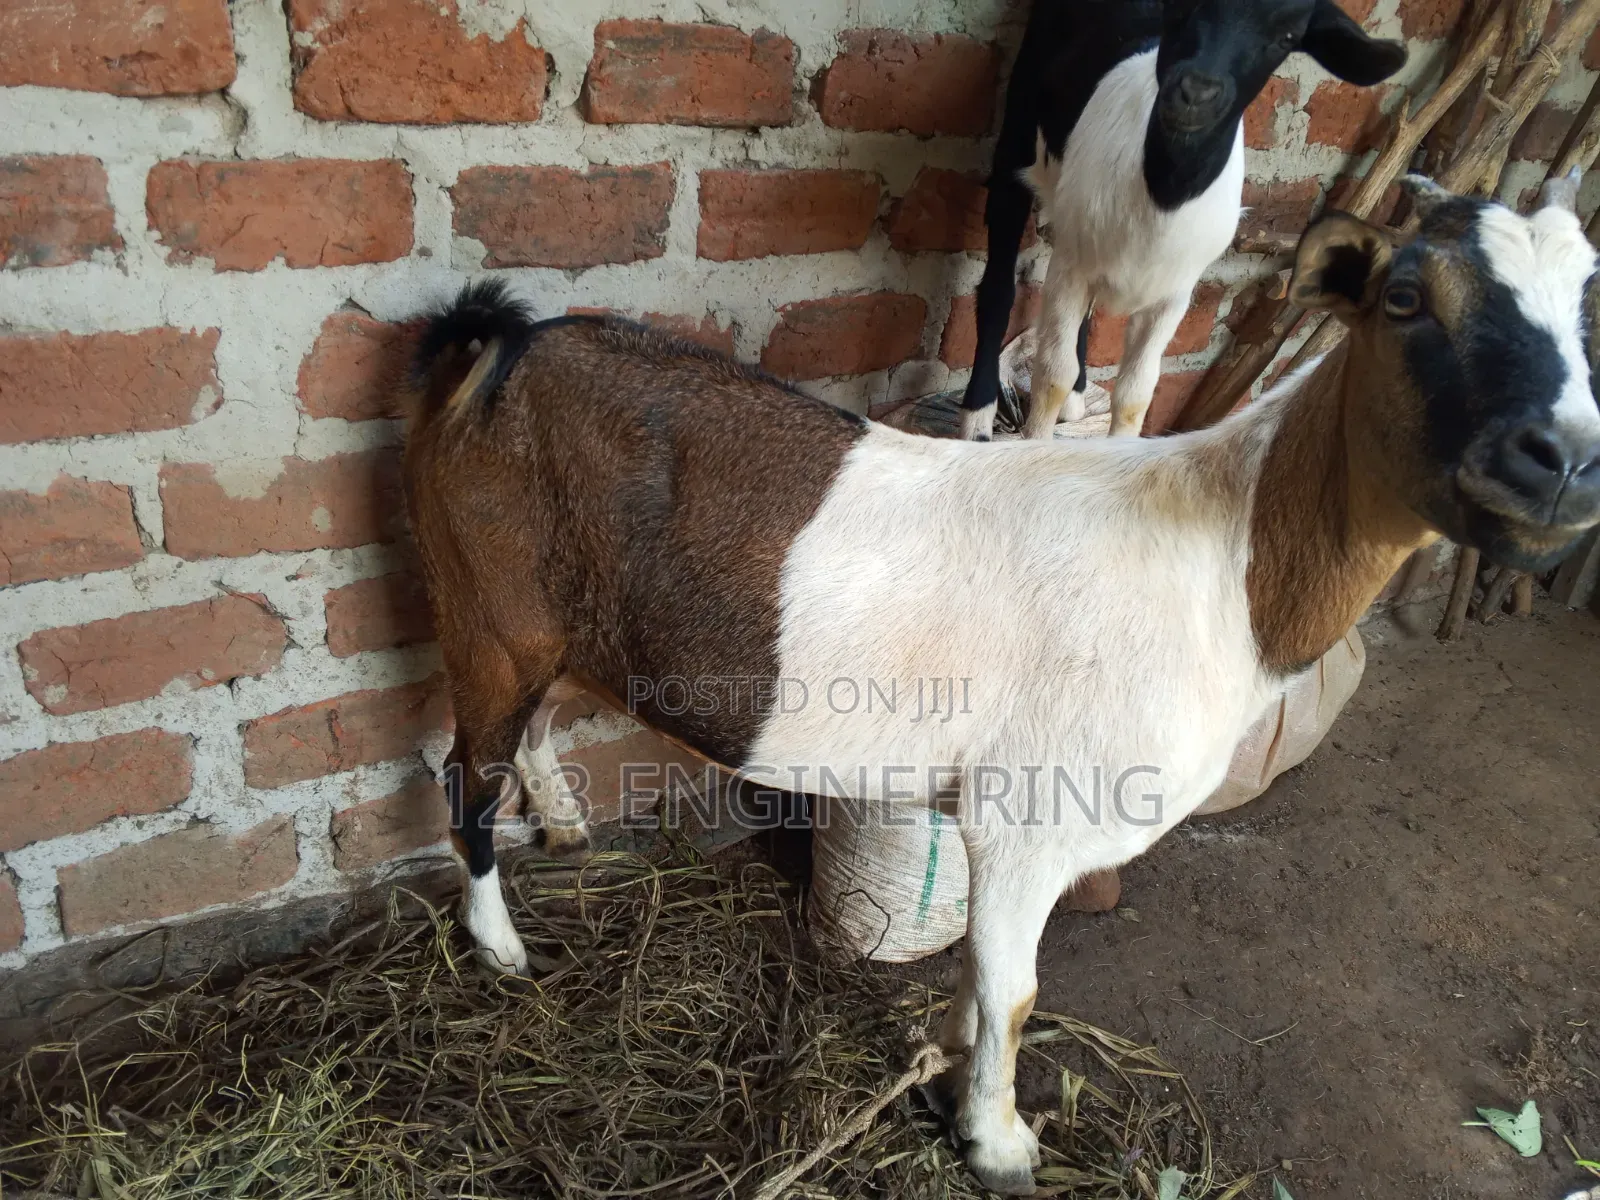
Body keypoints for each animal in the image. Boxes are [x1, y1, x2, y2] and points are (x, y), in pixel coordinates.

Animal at [401, 177, 1600, 1195]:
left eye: (1585, 307)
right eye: (1404, 298)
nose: (1563, 462)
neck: (1225, 561)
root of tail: (499, 350)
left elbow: (981, 984)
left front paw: (948, 1075)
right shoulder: (1028, 820)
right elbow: (1014, 990)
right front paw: (999, 1141)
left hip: (547, 627)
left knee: (529, 736)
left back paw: (564, 827)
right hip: (488, 607)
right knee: (464, 773)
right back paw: (501, 949)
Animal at [959, 0, 1406, 440]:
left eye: (1288, 36)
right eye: (1179, 6)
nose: (1196, 93)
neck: (1162, 199)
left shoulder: (1173, 294)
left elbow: (1136, 393)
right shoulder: (1071, 269)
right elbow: (1053, 374)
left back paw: (1077, 398)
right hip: (1020, 119)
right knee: (998, 286)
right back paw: (978, 416)